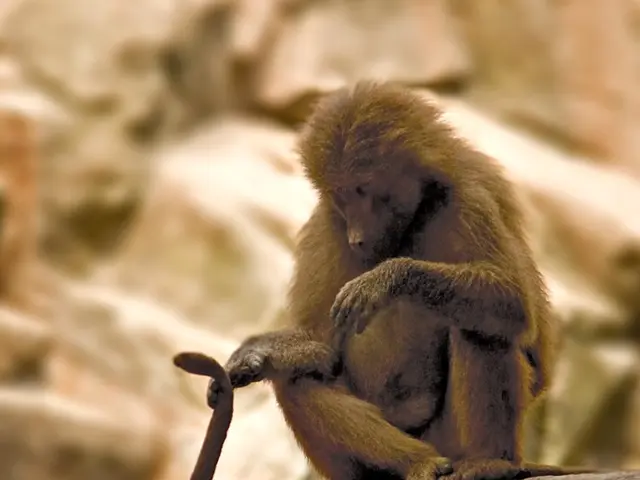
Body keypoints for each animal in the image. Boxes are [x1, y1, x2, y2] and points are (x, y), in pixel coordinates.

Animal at [205, 81, 609, 480]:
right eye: (342, 196)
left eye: (364, 189)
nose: (357, 238)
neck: (412, 220)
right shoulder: (327, 228)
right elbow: (322, 347)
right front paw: (260, 355)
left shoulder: (467, 199)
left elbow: (515, 304)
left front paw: (386, 279)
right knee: (297, 380)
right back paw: (413, 463)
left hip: (449, 438)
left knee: (483, 327)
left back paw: (489, 464)